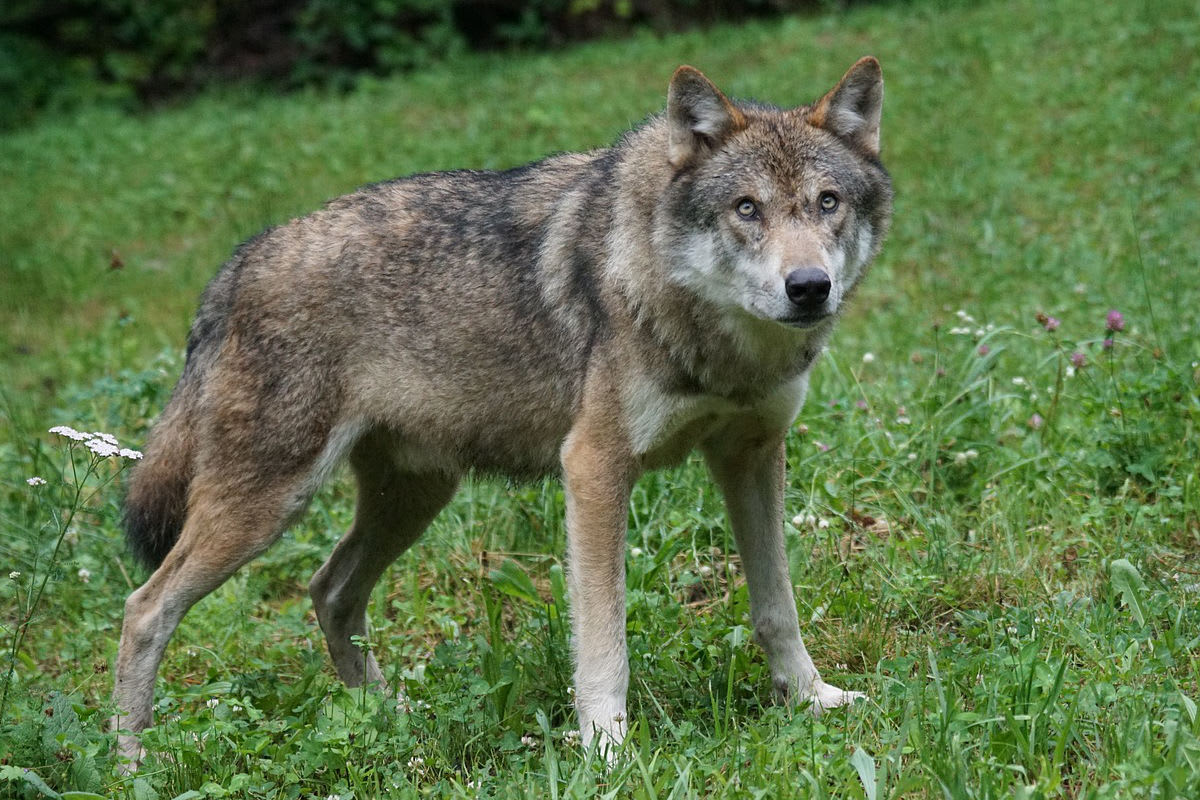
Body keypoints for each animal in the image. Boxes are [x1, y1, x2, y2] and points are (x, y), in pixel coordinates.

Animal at [113, 57, 892, 764]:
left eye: (827, 202)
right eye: (747, 208)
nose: (809, 287)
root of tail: (236, 265)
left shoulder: (751, 455)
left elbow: (776, 607)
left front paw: (812, 699)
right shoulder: (595, 470)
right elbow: (603, 641)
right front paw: (607, 750)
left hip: (412, 497)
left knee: (329, 590)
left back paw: (391, 721)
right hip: (268, 508)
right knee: (144, 609)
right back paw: (129, 762)